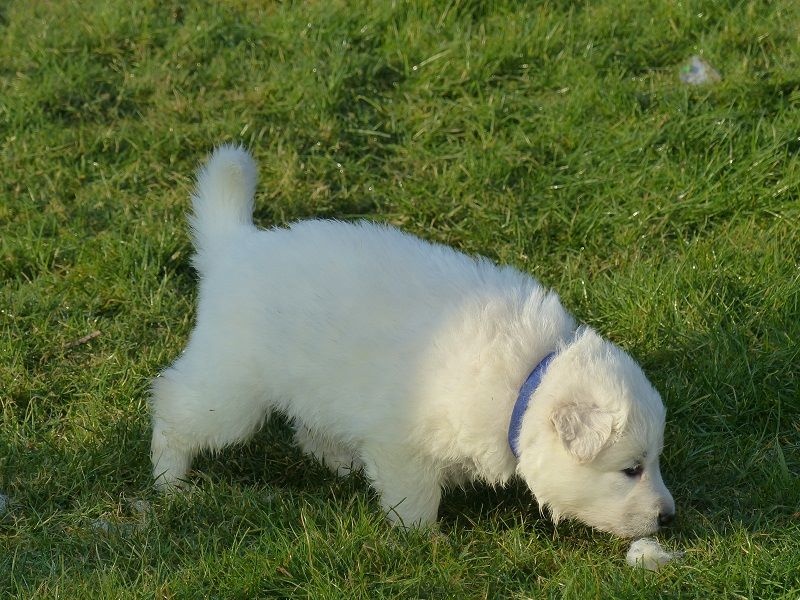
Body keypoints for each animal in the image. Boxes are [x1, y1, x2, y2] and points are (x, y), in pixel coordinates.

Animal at [150, 146, 676, 540]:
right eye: (631, 469)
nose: (668, 517)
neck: (526, 383)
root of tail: (235, 247)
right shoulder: (403, 445)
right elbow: (416, 499)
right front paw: (425, 541)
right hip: (230, 388)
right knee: (175, 408)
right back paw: (169, 482)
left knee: (309, 427)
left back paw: (341, 461)